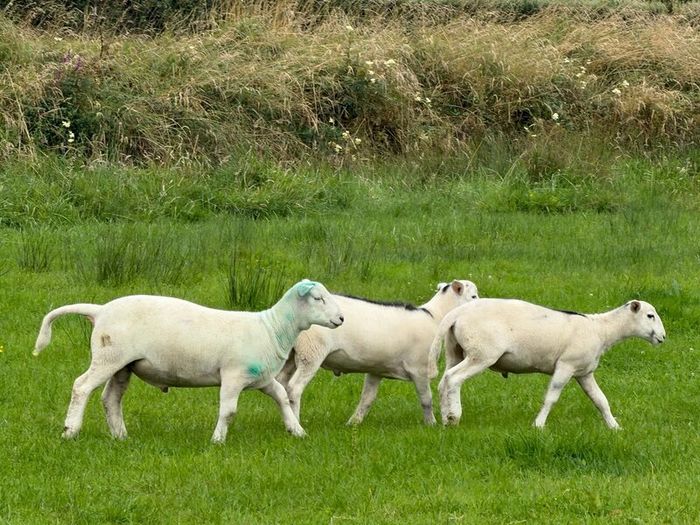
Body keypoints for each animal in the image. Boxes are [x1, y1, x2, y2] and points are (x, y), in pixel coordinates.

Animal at [33, 280, 344, 443]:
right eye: (318, 298)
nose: (341, 319)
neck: (272, 328)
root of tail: (100, 310)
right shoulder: (233, 375)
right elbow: (229, 411)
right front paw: (217, 440)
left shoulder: (261, 377)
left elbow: (281, 396)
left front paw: (296, 430)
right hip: (109, 357)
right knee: (82, 386)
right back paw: (70, 430)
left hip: (123, 365)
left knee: (111, 398)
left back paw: (121, 435)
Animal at [276, 280, 479, 426]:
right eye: (474, 296)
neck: (436, 317)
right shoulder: (419, 368)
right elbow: (426, 400)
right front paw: (431, 424)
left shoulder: (376, 370)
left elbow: (367, 399)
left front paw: (353, 423)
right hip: (311, 352)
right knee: (294, 388)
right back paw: (296, 421)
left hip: (291, 355)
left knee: (281, 384)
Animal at [431, 298, 666, 428]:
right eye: (650, 315)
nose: (663, 337)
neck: (601, 330)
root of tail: (457, 313)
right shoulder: (565, 366)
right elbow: (551, 398)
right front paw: (538, 425)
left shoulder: (584, 372)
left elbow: (601, 400)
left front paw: (614, 427)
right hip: (482, 353)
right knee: (453, 378)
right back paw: (454, 417)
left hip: (455, 350)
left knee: (444, 381)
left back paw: (444, 418)